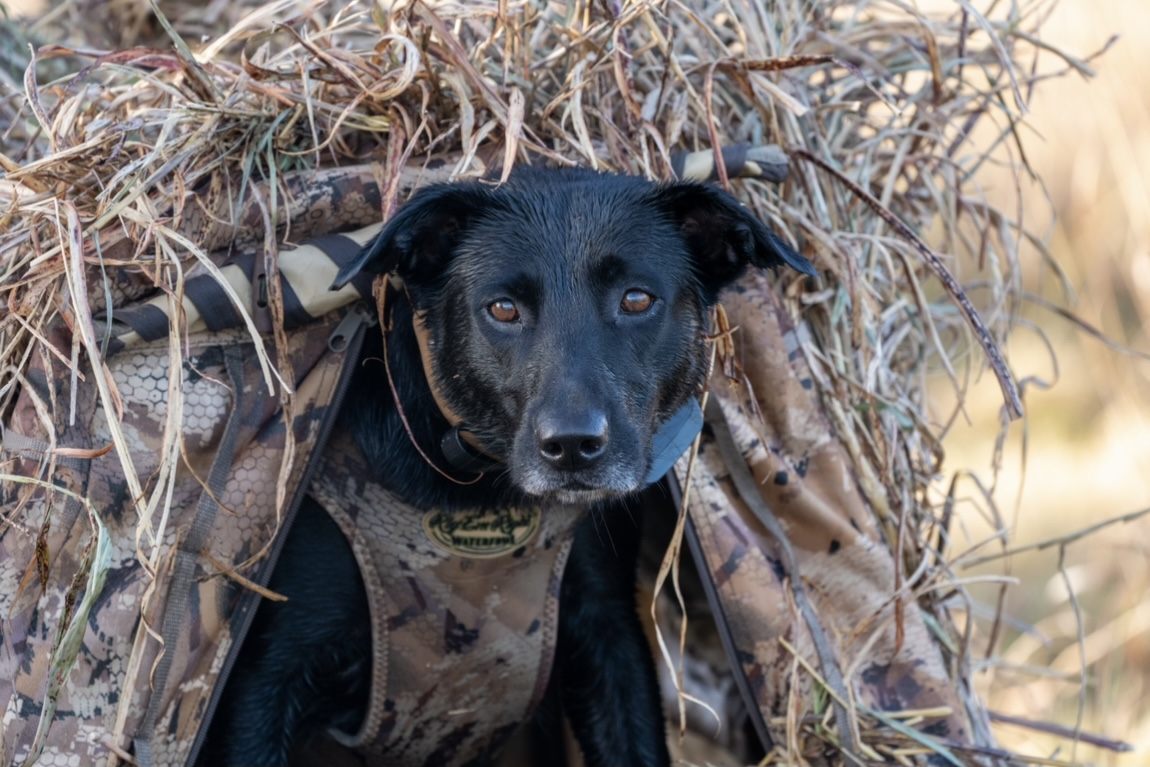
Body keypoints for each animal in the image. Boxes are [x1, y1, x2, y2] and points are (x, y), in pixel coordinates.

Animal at [197, 169, 814, 767]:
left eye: (637, 300)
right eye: (502, 308)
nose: (572, 445)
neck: (474, 488)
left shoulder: (608, 636)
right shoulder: (265, 681)